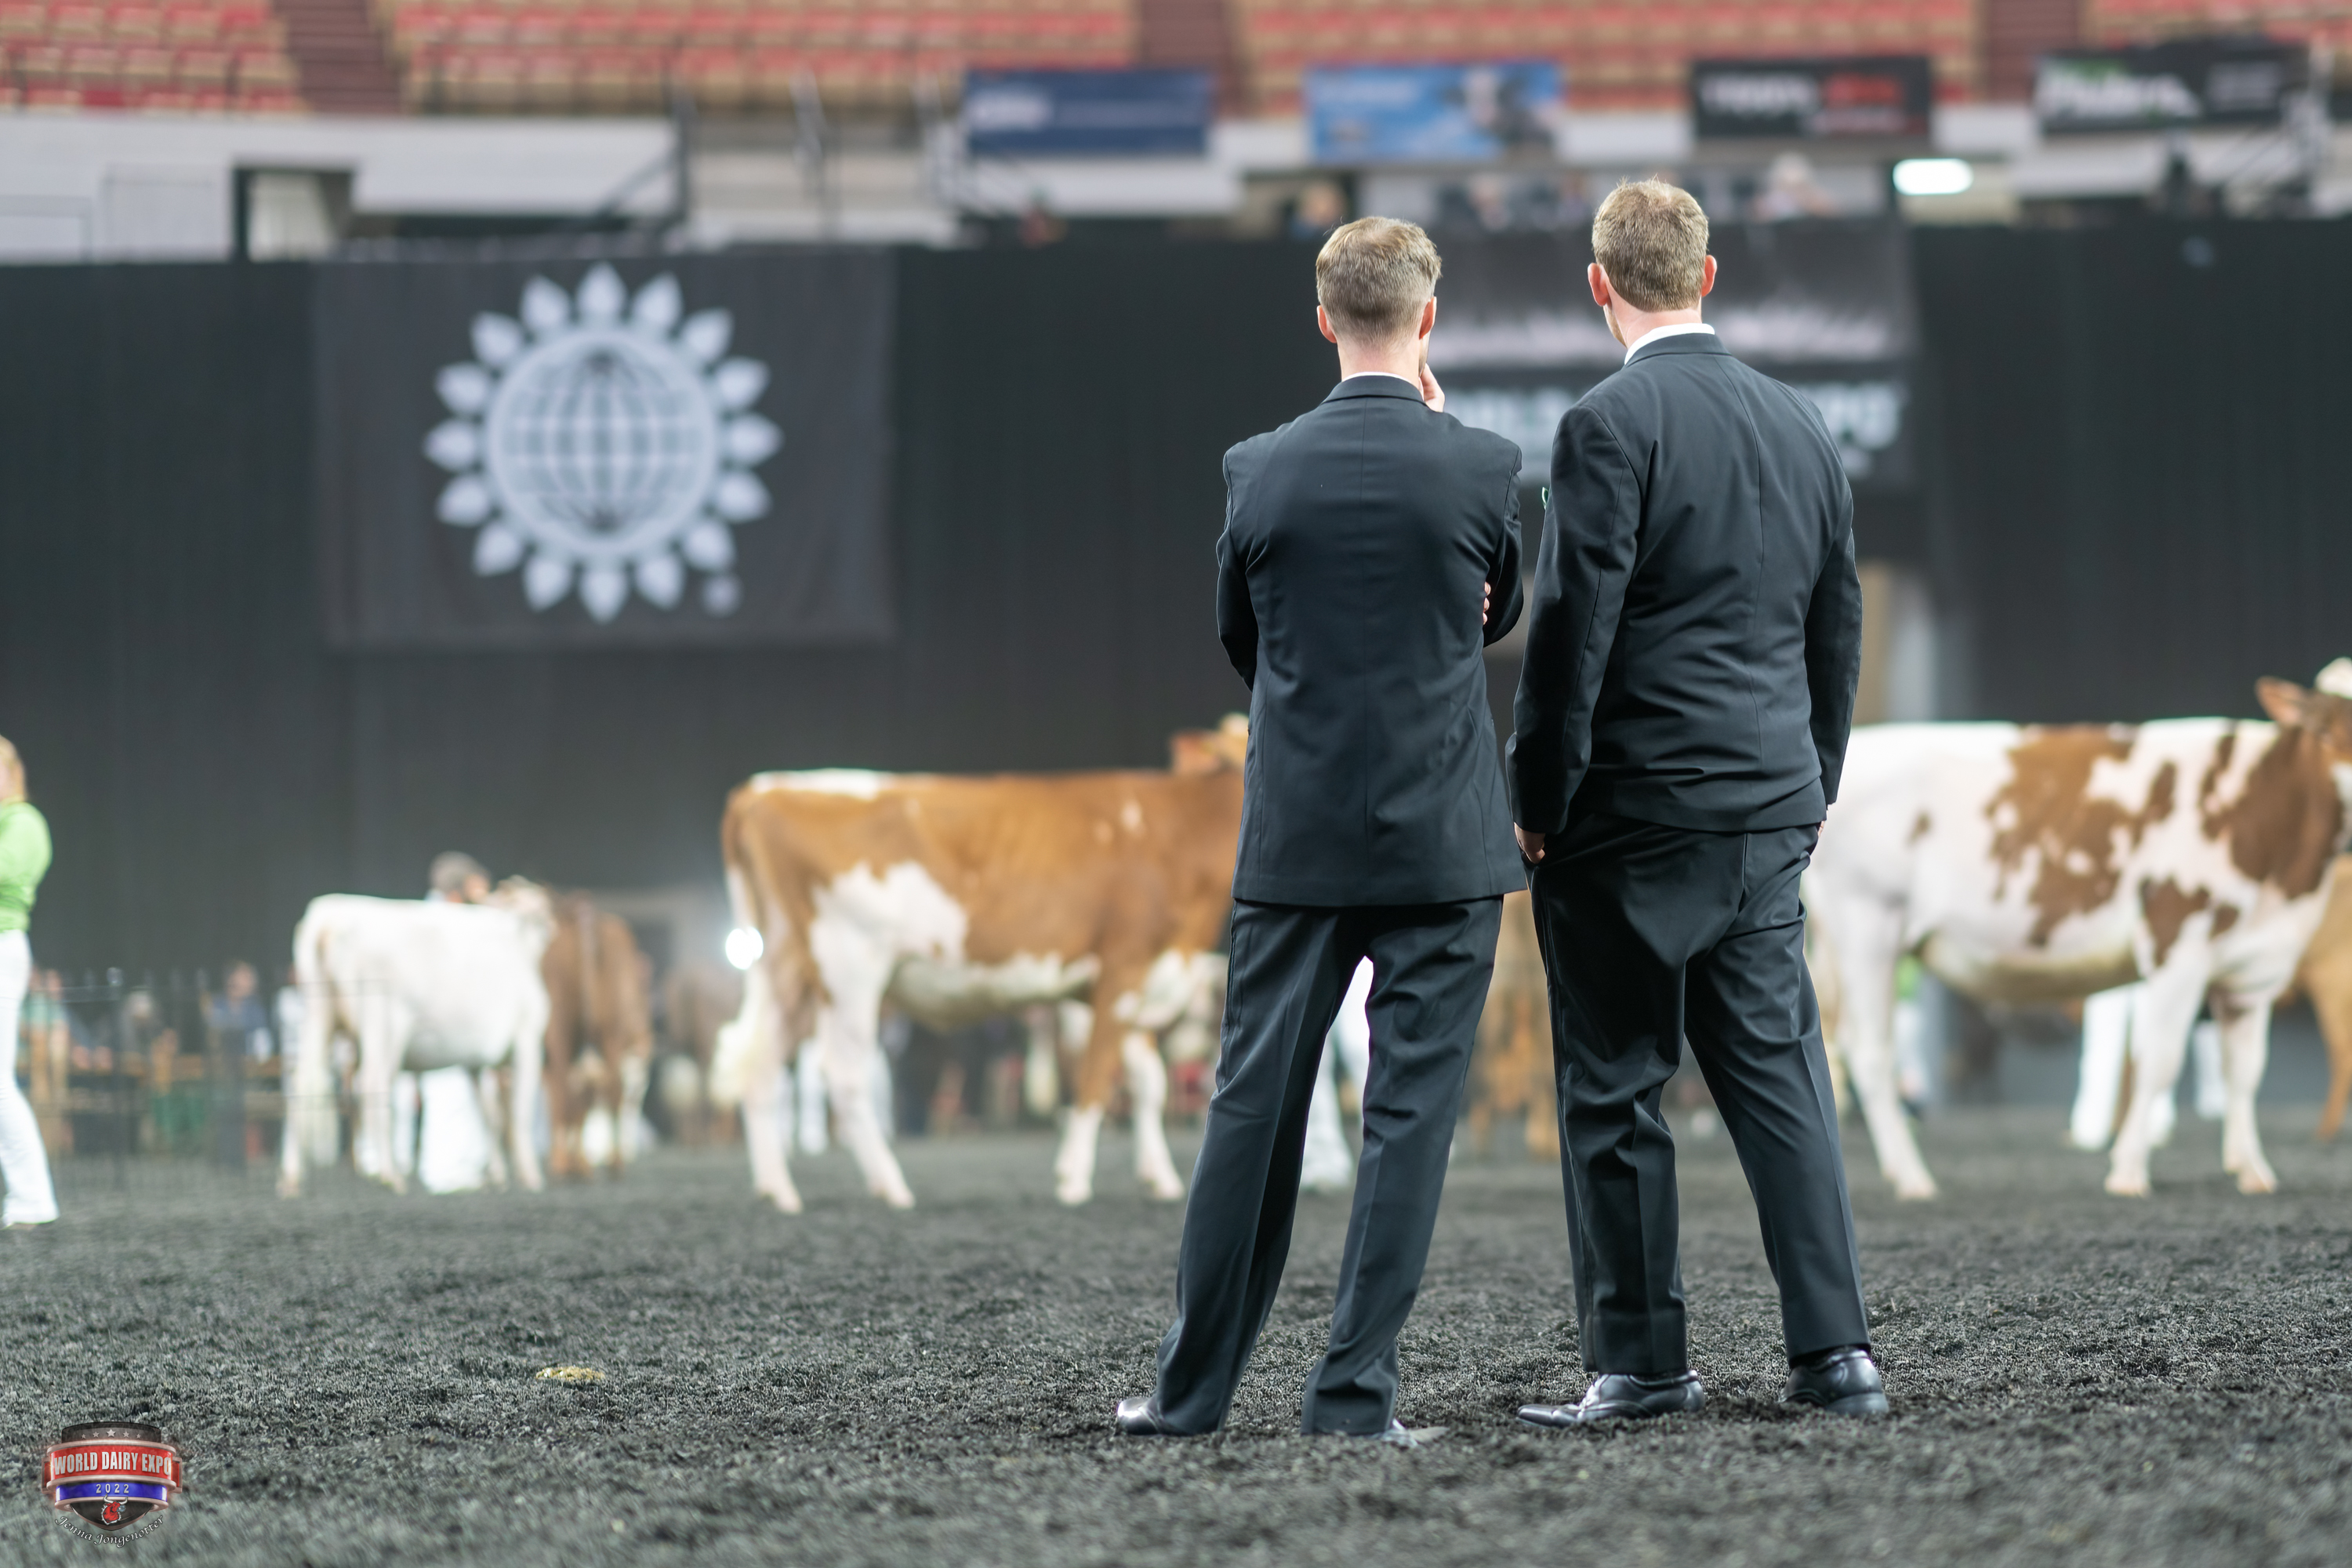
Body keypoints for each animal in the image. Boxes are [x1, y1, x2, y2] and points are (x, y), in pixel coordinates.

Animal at [278, 882, 554, 1197]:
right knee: (373, 1085)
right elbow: (519, 1115)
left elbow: (491, 1115)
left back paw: (291, 1178)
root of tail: (331, 915)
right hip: (384, 1022)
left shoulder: (476, 1062)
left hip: (317, 1015)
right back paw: (389, 1175)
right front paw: (531, 1176)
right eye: (541, 907)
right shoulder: (528, 1040)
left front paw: (498, 1174)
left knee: (300, 1083)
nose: (552, 925)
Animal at [540, 893, 654, 1179]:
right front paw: (581, 1162)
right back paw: (613, 1162)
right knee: (609, 1091)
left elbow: (557, 1103)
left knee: (566, 1095)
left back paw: (565, 1165)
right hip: (611, 1033)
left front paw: (565, 1160)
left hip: (561, 1029)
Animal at [715, 766, 1244, 1210]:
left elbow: (1148, 1082)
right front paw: (1073, 1179)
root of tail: (765, 788)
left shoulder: (1118, 988)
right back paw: (891, 1186)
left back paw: (778, 1190)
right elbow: (1095, 1078)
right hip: (848, 965)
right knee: (842, 1074)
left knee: (758, 1067)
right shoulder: (1121, 972)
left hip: (786, 972)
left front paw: (1161, 1179)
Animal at [1805, 674, 2352, 1200]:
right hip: (1867, 921)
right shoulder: (2177, 943)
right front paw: (2128, 1171)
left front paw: (2253, 1170)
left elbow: (2246, 1070)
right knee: (1871, 1054)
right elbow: (2159, 1061)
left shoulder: (2253, 968)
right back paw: (1913, 1179)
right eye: (2330, 728)